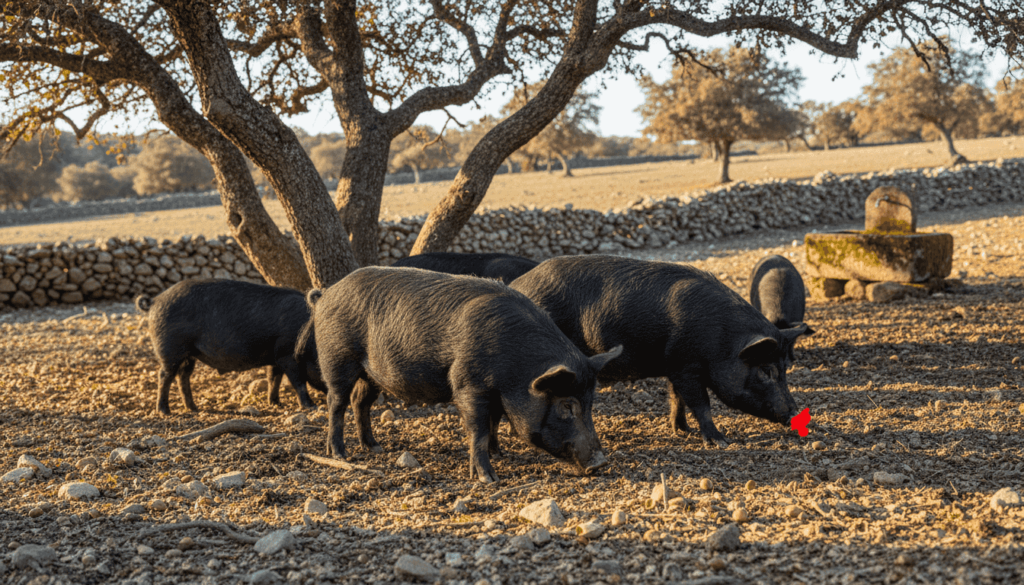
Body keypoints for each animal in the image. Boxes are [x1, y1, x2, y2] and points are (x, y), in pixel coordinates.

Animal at [135, 279, 325, 415]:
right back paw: (165, 412)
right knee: (165, 375)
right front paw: (311, 406)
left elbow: (273, 378)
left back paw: (194, 408)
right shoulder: (287, 355)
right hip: (171, 348)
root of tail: (155, 301)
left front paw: (276, 403)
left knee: (183, 376)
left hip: (189, 353)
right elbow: (298, 381)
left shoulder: (276, 354)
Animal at [295, 266, 622, 483]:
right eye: (567, 405)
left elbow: (494, 421)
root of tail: (324, 295)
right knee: (336, 403)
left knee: (360, 402)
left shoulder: (496, 392)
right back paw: (340, 454)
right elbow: (478, 429)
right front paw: (488, 478)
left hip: (371, 372)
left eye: (590, 405)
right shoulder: (468, 384)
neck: (517, 368)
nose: (600, 462)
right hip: (338, 358)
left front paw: (501, 453)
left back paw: (375, 448)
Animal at [510, 255, 808, 447]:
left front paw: (682, 431)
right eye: (766, 371)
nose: (795, 413)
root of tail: (516, 285)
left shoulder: (674, 365)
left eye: (785, 369)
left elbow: (677, 399)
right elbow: (701, 403)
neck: (721, 339)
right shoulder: (687, 366)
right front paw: (720, 441)